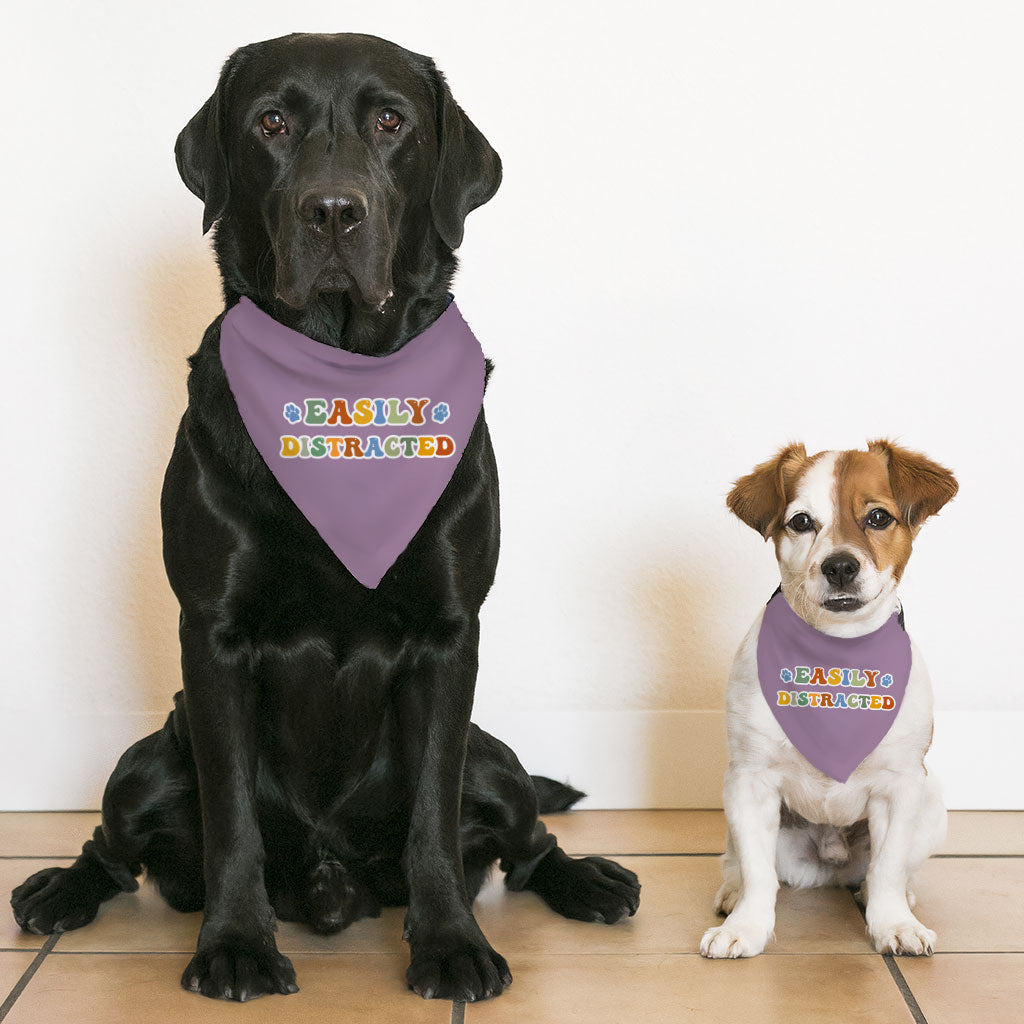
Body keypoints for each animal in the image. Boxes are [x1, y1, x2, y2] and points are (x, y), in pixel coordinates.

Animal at [9, 29, 638, 999]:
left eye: (391, 122)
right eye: (271, 122)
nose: (333, 211)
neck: (343, 388)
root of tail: (333, 874)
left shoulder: (450, 635)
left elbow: (432, 818)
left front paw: (450, 945)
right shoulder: (213, 636)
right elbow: (232, 816)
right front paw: (234, 944)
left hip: (493, 759)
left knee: (528, 835)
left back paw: (589, 881)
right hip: (146, 761)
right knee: (112, 845)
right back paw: (59, 890)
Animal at [700, 440, 954, 958]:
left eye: (878, 517)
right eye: (801, 522)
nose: (839, 565)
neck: (836, 660)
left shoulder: (900, 787)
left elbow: (888, 869)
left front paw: (893, 923)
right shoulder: (750, 783)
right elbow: (758, 873)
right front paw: (746, 927)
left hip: (932, 802)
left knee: (885, 872)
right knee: (739, 862)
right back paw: (731, 892)